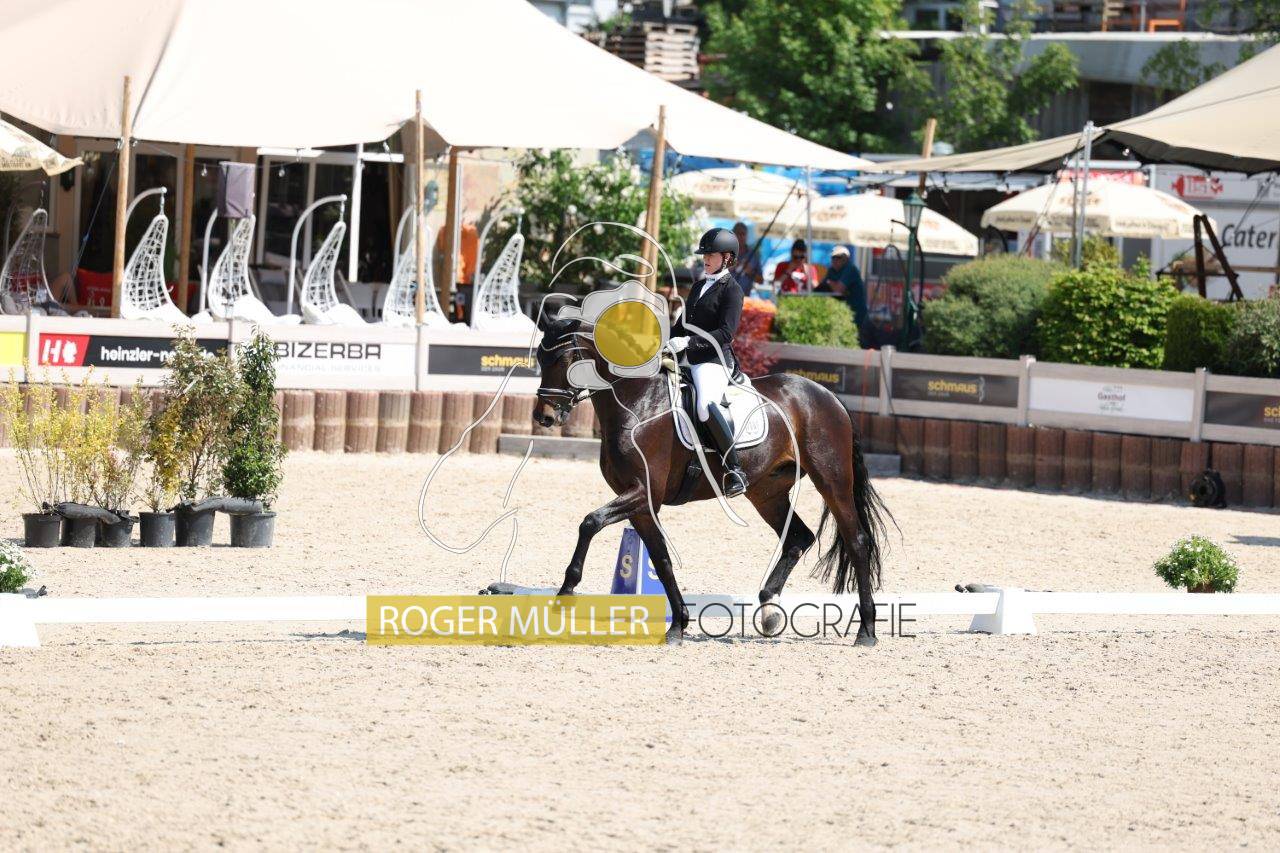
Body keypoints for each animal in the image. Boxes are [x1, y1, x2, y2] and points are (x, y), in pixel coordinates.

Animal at [532, 314, 892, 646]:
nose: (543, 417)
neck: (638, 403)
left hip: (832, 481)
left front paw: (565, 594)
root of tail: (826, 395)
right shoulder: (641, 504)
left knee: (857, 542)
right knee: (798, 538)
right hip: (767, 491)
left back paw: (866, 631)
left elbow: (589, 522)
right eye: (539, 358)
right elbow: (661, 558)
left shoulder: (642, 492)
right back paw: (770, 611)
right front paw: (678, 625)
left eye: (563, 360)